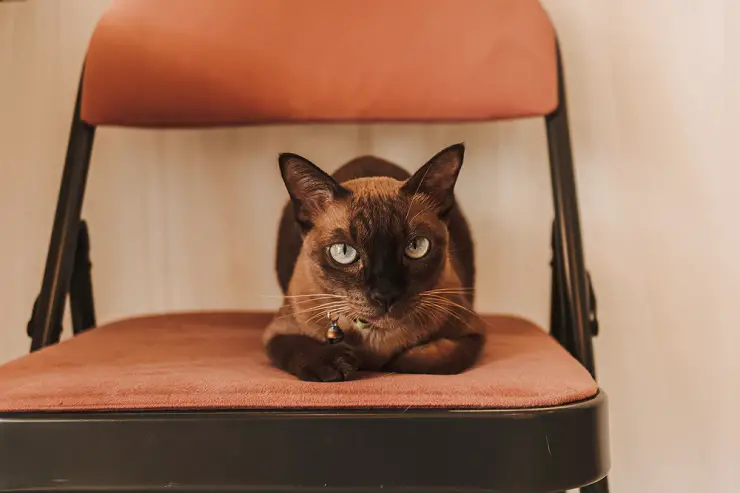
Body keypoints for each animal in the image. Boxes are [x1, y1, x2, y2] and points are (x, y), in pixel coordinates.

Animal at [262, 142, 486, 380]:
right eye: (344, 252)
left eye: (416, 247)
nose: (385, 294)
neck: (375, 339)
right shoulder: (278, 332)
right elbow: (300, 348)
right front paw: (337, 364)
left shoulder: (473, 332)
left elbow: (435, 359)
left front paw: (391, 363)